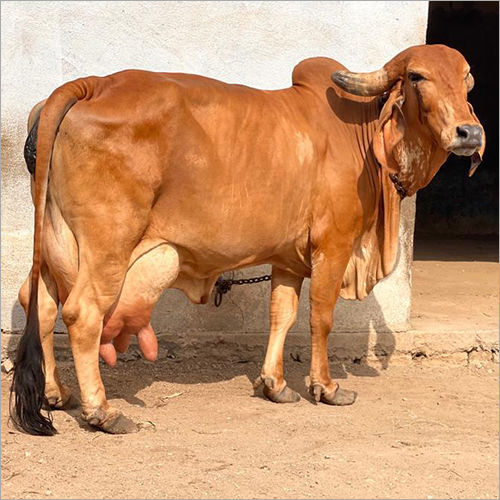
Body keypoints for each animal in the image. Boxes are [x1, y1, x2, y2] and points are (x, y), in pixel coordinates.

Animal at [10, 45, 484, 434]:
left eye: (466, 79)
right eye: (417, 76)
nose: (470, 133)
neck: (360, 135)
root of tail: (90, 85)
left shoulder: (288, 259)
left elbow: (282, 316)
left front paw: (275, 385)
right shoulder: (332, 246)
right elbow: (320, 319)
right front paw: (326, 387)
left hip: (55, 244)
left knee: (42, 305)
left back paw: (57, 394)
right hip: (108, 243)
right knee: (82, 314)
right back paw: (102, 412)